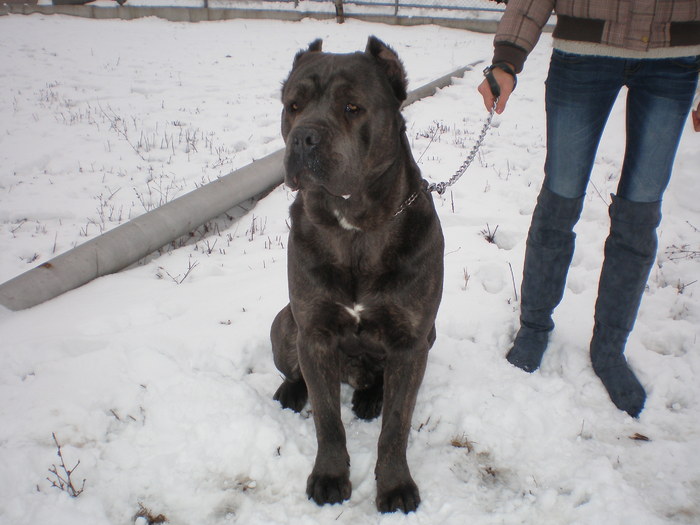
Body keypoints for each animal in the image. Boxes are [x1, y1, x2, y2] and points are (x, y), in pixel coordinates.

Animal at [270, 36, 442, 512]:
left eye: (352, 107)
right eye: (293, 105)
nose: (304, 136)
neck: (354, 228)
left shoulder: (410, 343)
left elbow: (397, 425)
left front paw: (396, 485)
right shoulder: (314, 333)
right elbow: (328, 418)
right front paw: (330, 475)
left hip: (428, 336)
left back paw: (370, 398)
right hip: (284, 323)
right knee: (296, 371)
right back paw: (292, 391)